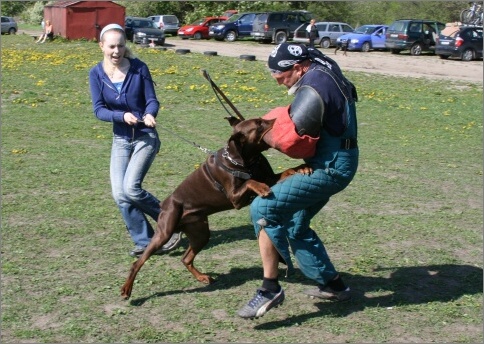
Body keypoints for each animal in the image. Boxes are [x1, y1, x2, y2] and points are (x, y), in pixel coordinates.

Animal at [122, 116, 310, 298]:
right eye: (258, 123)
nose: (277, 119)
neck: (244, 160)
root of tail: (165, 204)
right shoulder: (235, 199)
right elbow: (250, 182)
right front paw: (261, 187)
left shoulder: (269, 178)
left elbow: (284, 172)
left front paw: (302, 168)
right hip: (165, 231)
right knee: (138, 262)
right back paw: (127, 289)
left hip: (200, 232)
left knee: (186, 258)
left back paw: (202, 277)